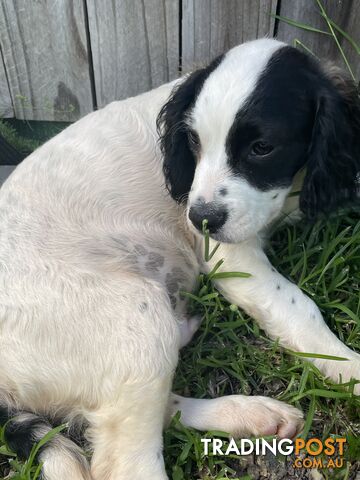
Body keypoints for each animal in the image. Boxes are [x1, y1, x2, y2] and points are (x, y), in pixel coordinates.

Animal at [0, 38, 358, 480]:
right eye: (194, 143)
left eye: (262, 148)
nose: (199, 218)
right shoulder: (226, 252)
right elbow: (298, 307)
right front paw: (349, 367)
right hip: (135, 317)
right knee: (127, 461)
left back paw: (247, 412)